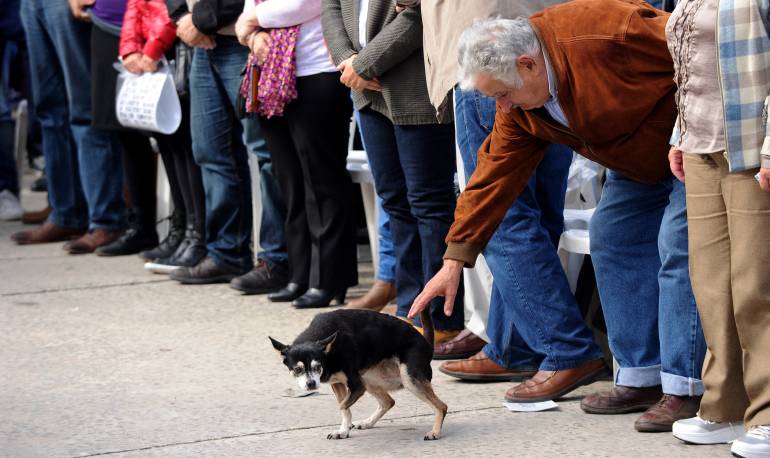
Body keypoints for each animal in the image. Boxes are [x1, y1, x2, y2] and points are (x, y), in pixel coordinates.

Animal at [270, 308, 448, 440]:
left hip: (409, 379)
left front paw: (344, 428)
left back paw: (435, 432)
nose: (311, 384)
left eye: (317, 367)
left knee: (442, 406)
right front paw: (343, 431)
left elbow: (343, 406)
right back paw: (368, 422)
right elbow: (345, 408)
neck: (329, 353)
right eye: (297, 369)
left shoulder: (356, 386)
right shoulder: (338, 383)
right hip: (368, 379)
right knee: (388, 402)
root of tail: (426, 343)